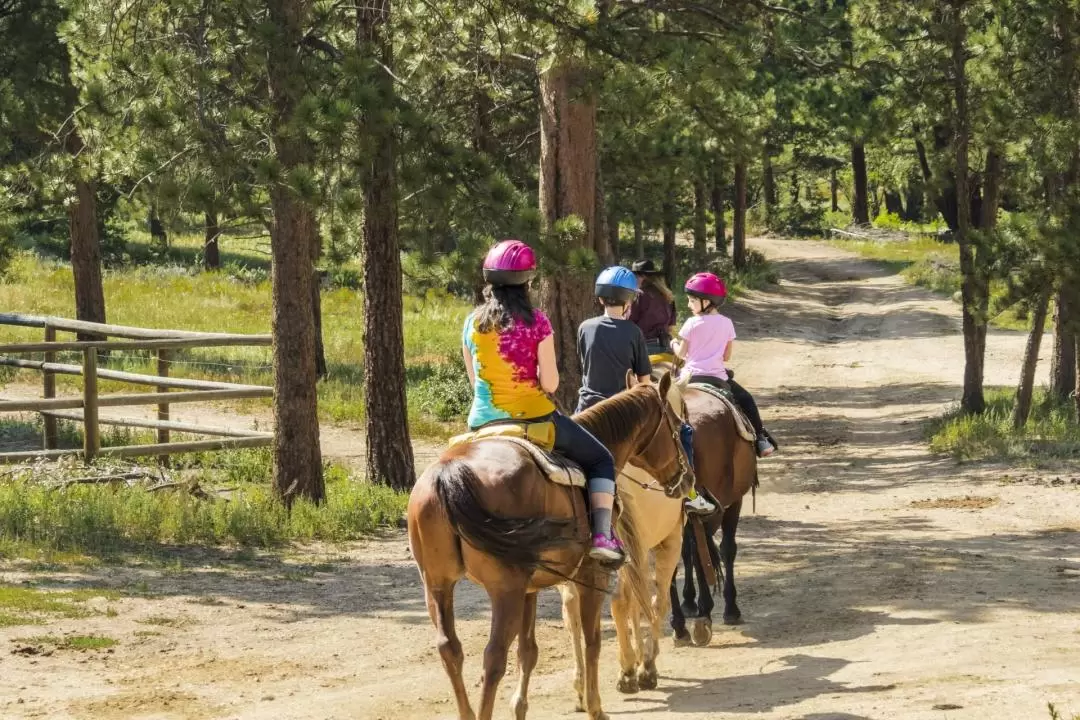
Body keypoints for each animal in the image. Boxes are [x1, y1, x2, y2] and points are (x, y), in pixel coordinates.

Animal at [406, 377, 691, 720]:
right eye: (676, 422)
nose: (686, 477)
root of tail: (448, 474)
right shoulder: (591, 575)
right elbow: (593, 639)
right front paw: (596, 706)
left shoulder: (531, 588)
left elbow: (528, 651)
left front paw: (520, 708)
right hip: (504, 591)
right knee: (493, 657)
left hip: (438, 585)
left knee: (451, 650)